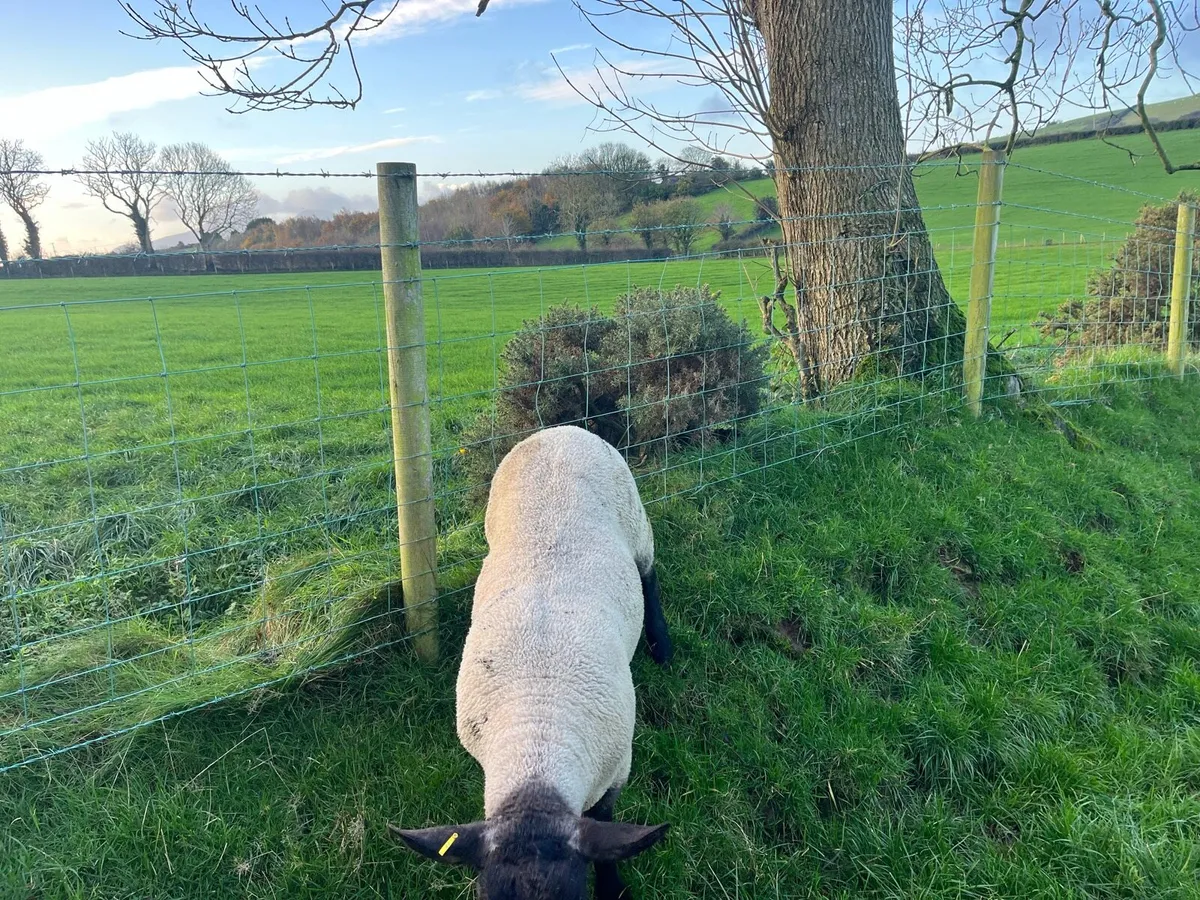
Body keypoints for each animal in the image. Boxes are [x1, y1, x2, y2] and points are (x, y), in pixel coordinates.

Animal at [390, 424, 673, 900]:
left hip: (636, 520)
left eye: (573, 896)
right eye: (484, 897)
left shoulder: (618, 767)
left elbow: (604, 823)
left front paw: (612, 888)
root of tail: (562, 430)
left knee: (648, 574)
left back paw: (663, 647)